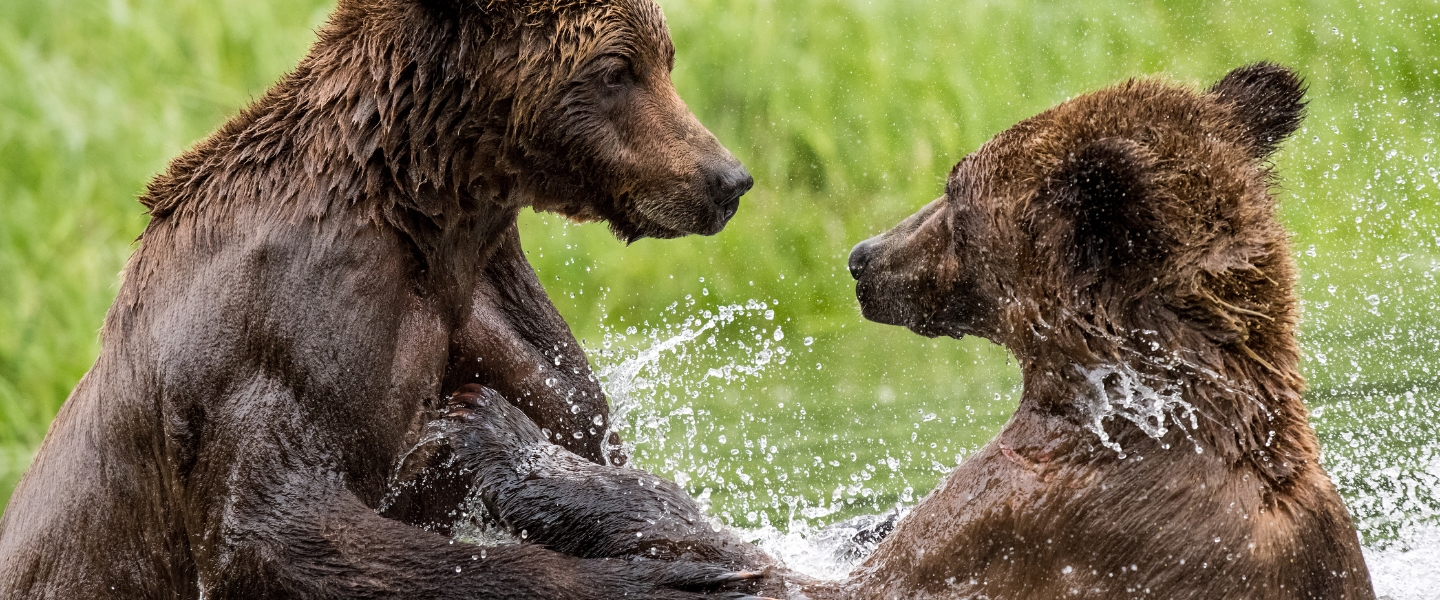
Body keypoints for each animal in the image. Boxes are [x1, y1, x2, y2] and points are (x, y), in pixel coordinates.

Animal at [0, 0, 760, 595]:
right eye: (614, 69)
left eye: (664, 57)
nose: (725, 178)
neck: (426, 211)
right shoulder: (289, 322)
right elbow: (273, 529)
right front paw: (674, 576)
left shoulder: (492, 302)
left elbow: (575, 426)